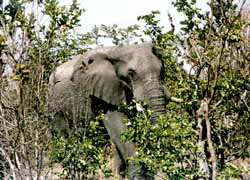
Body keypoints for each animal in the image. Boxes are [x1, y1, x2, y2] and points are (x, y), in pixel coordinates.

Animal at [47, 43, 181, 179]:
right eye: (131, 73)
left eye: (162, 71)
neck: (119, 51)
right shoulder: (104, 91)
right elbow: (119, 128)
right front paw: (138, 177)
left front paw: (118, 175)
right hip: (55, 105)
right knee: (62, 135)